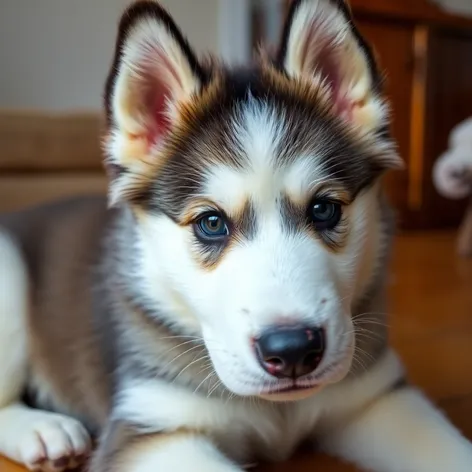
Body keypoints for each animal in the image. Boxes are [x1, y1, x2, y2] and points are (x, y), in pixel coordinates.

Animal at [0, 0, 472, 472]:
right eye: (211, 223)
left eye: (324, 209)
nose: (293, 350)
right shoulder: (149, 429)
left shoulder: (375, 399)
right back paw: (45, 431)